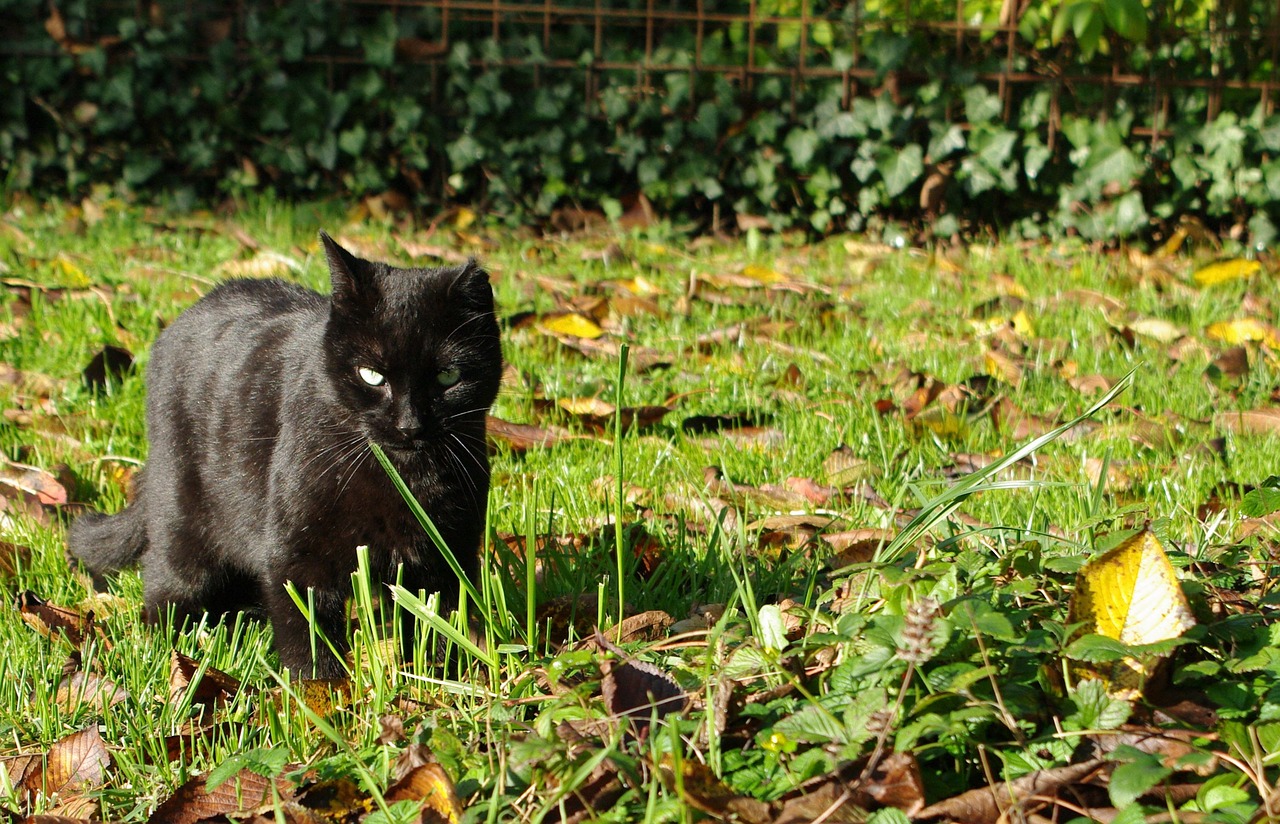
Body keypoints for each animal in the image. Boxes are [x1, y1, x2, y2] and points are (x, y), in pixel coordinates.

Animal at [66, 231, 499, 675]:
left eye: (448, 376)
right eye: (371, 375)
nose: (409, 425)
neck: (404, 476)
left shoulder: (447, 556)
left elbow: (438, 624)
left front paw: (438, 676)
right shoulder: (298, 556)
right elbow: (308, 635)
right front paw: (321, 688)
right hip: (182, 510)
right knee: (165, 576)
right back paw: (169, 643)